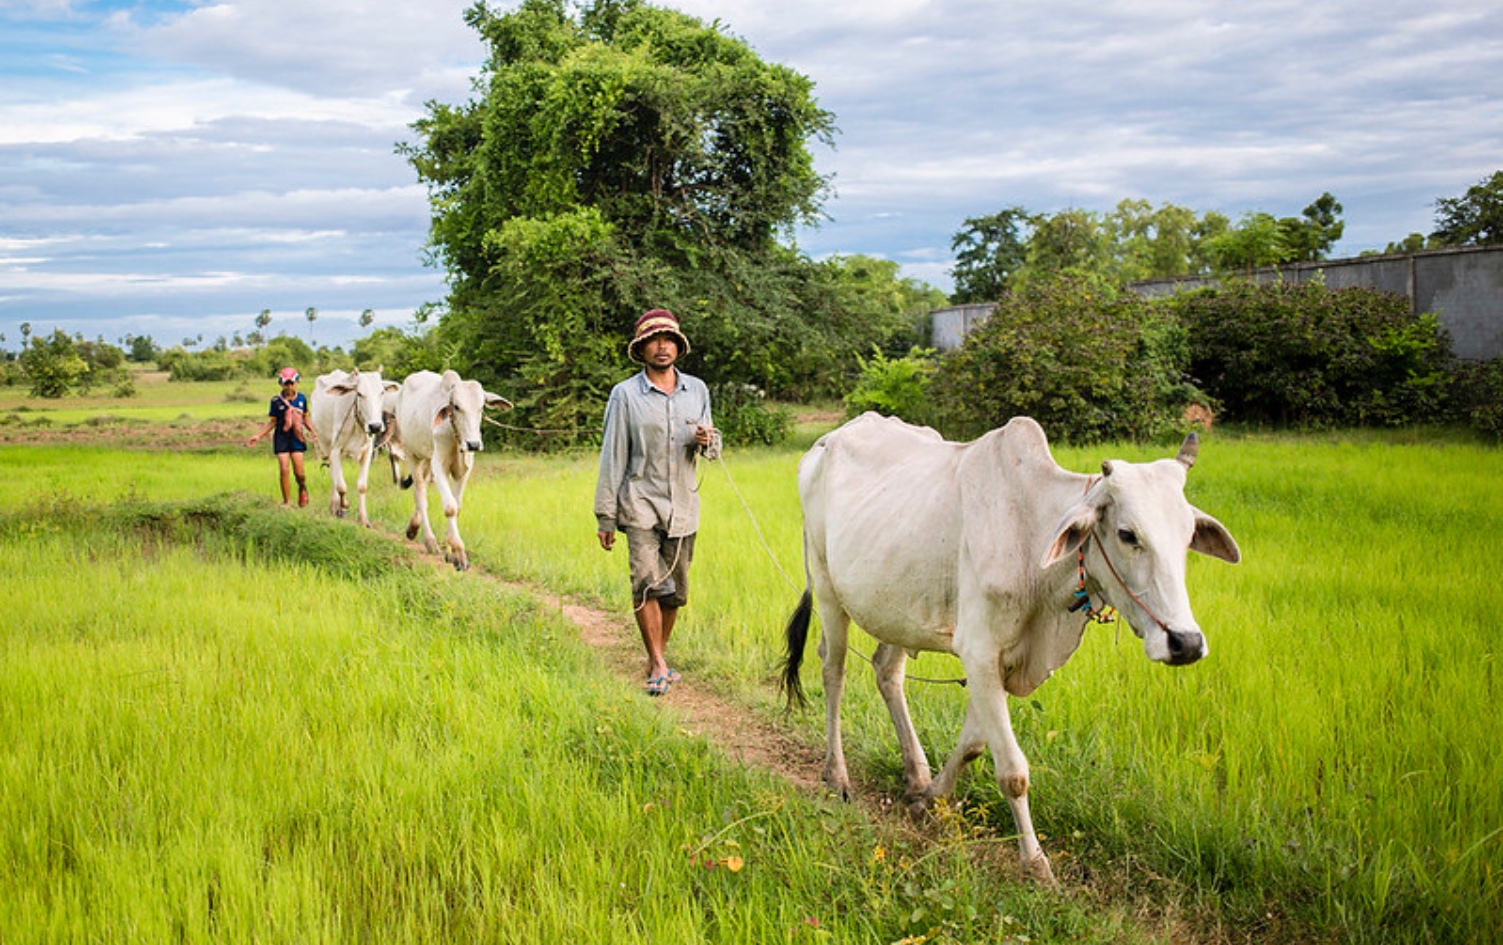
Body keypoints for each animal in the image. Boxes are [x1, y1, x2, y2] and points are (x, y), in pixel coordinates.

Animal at [309, 366, 399, 525]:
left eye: (382, 392)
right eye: (359, 393)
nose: (375, 426)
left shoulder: (367, 452)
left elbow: (362, 486)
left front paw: (363, 518)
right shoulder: (335, 450)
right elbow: (341, 486)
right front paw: (344, 504)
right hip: (325, 444)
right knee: (334, 476)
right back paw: (335, 505)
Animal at [387, 368, 511, 567]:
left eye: (481, 407)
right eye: (457, 407)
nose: (474, 444)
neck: (455, 436)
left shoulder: (464, 470)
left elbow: (457, 506)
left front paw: (450, 550)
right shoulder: (439, 465)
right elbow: (450, 507)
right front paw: (459, 552)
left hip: (427, 457)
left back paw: (413, 527)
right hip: (412, 454)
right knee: (420, 493)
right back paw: (429, 541)